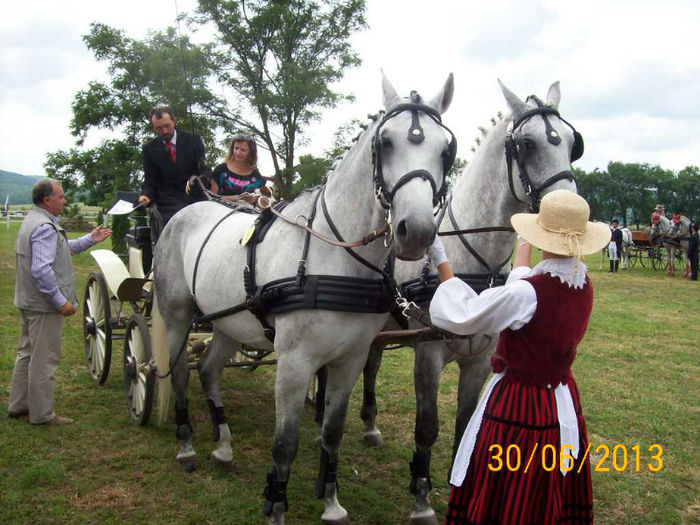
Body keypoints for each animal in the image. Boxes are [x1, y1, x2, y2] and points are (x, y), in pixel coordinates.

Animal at [154, 73, 454, 524]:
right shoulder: (295, 362)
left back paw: (223, 444)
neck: (336, 258)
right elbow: (285, 444)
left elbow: (332, 432)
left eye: (446, 149)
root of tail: (184, 212)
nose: (415, 232)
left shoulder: (350, 359)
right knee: (179, 374)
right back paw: (186, 445)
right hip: (176, 316)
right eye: (385, 142)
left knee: (207, 370)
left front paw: (330, 500)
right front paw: (276, 506)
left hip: (228, 321)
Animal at [356, 80, 580, 520]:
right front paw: (421, 498)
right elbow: (428, 427)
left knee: (371, 366)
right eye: (527, 144)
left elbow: (464, 424)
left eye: (571, 143)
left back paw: (370, 426)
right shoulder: (428, 357)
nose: (570, 215)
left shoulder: (479, 358)